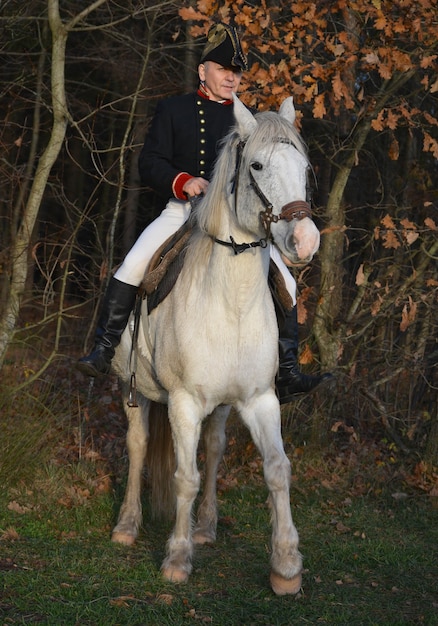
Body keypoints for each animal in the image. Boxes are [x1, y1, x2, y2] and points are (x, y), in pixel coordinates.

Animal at [111, 95, 320, 592]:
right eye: (257, 165)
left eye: (304, 169)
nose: (305, 241)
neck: (232, 303)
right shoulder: (183, 402)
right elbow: (184, 476)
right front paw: (176, 558)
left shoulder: (261, 399)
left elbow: (277, 469)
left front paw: (286, 566)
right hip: (133, 390)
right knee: (138, 445)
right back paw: (127, 526)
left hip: (223, 405)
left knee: (215, 447)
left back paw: (205, 526)